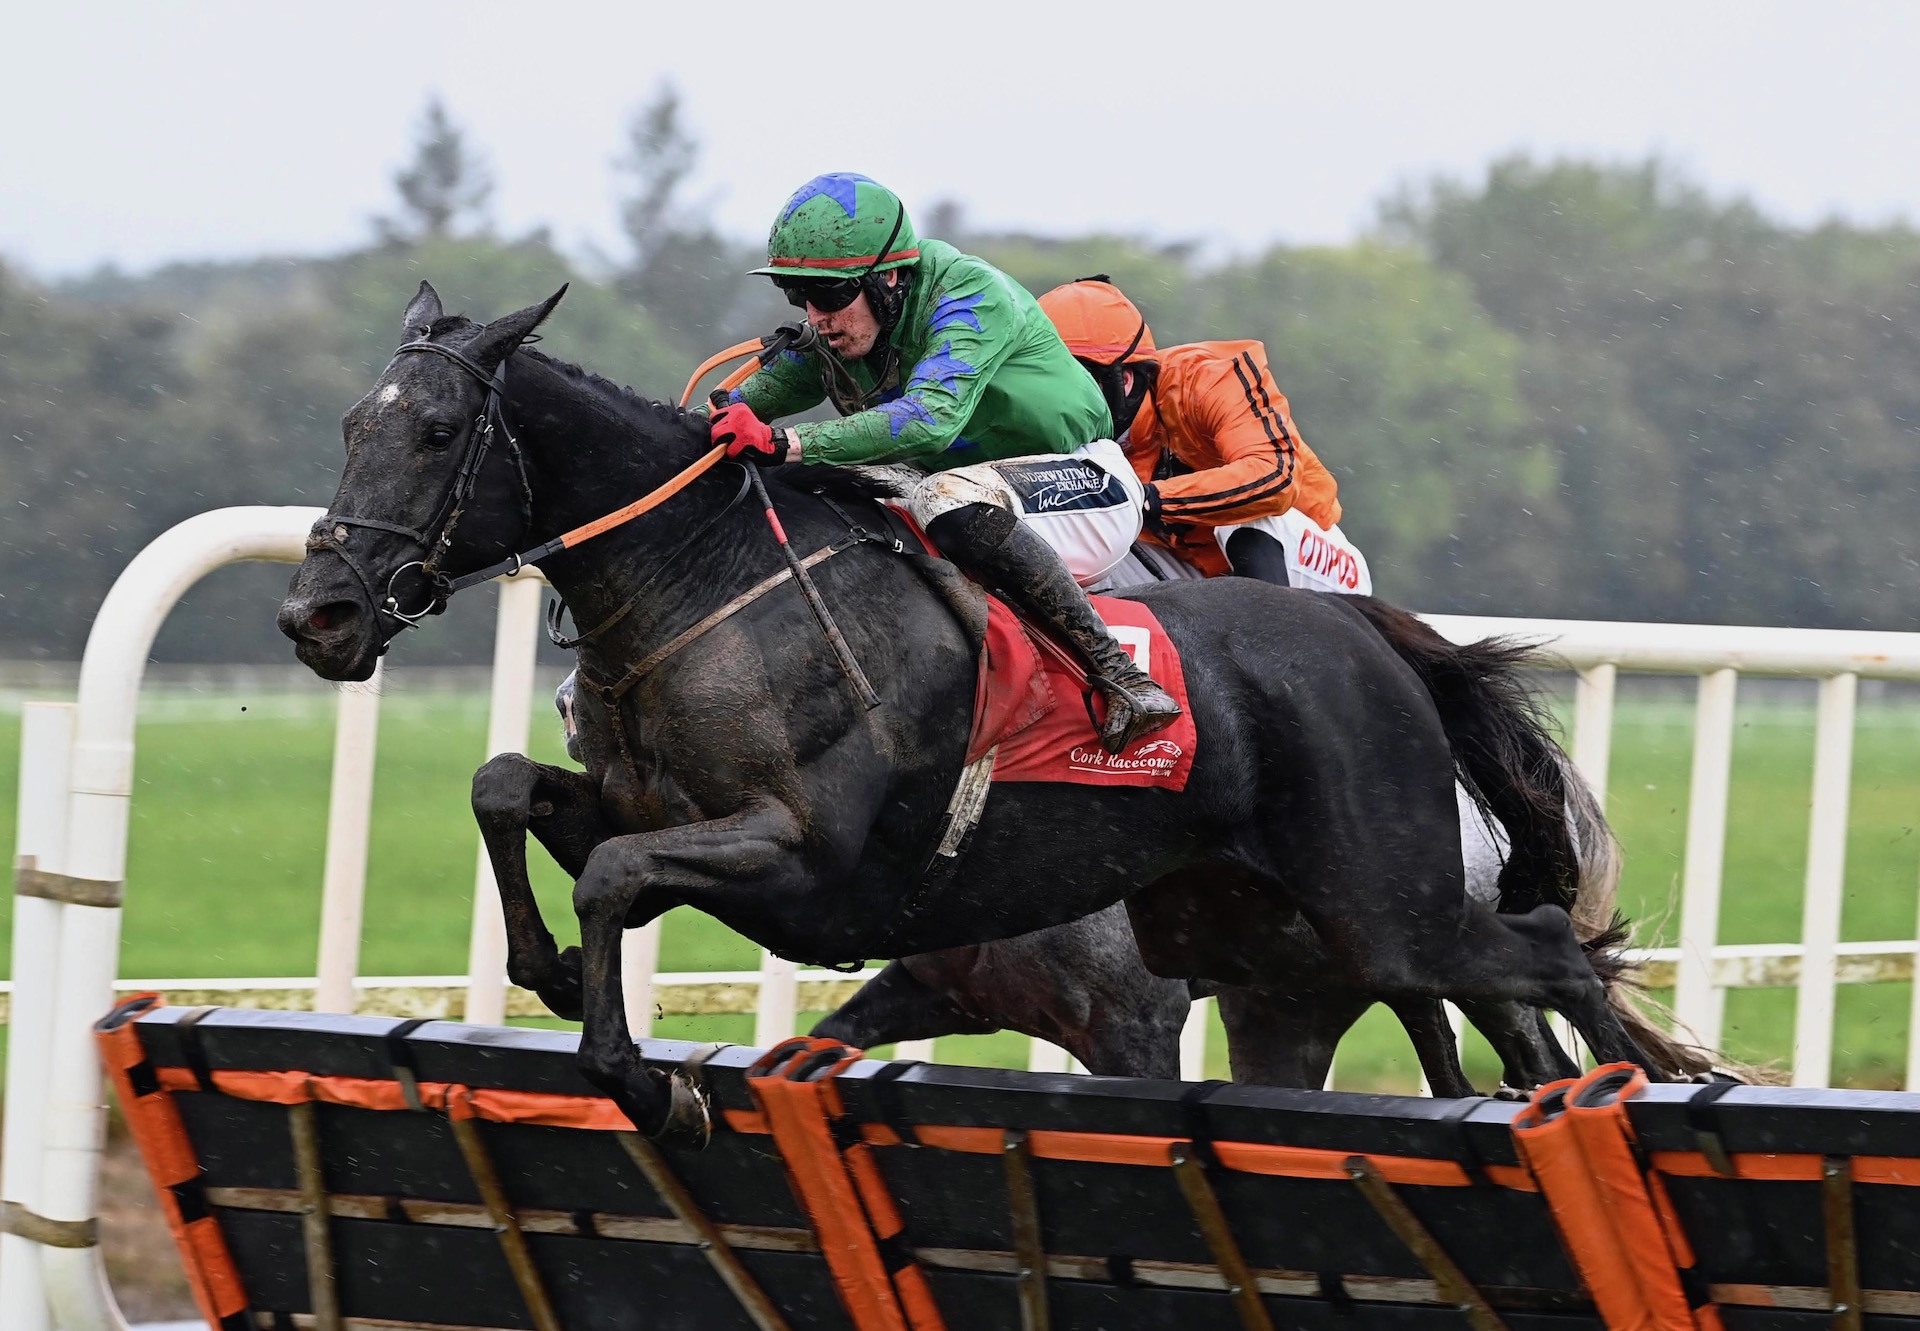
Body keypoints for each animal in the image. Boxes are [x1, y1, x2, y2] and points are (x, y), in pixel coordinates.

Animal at [278, 286, 1689, 1137]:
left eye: (438, 429)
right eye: (349, 423)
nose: (319, 614)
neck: (710, 580)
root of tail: (1371, 632)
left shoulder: (806, 857)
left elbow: (616, 872)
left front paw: (644, 1076)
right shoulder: (713, 842)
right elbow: (509, 790)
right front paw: (554, 971)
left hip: (1389, 907)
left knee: (1551, 964)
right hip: (1290, 960)